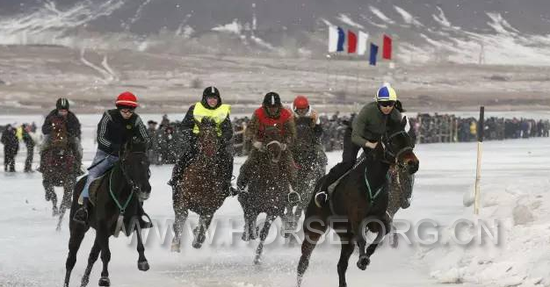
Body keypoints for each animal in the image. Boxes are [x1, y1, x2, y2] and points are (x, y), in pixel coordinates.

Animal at [63, 138, 152, 286]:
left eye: (147, 162)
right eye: (128, 164)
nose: (145, 188)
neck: (121, 194)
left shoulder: (131, 221)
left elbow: (139, 239)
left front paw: (143, 261)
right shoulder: (103, 226)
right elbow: (106, 254)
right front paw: (104, 278)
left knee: (92, 256)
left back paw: (84, 280)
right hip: (78, 229)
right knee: (71, 259)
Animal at [172, 118, 233, 252]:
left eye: (215, 138)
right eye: (200, 137)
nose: (209, 156)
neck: (202, 178)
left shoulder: (209, 208)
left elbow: (203, 227)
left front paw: (197, 239)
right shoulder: (183, 199)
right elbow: (181, 218)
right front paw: (175, 245)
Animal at [239, 126, 296, 266]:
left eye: (280, 136)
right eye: (265, 136)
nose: (275, 152)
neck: (268, 181)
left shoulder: (273, 211)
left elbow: (264, 233)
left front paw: (257, 257)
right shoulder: (252, 208)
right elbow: (251, 225)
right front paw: (251, 233)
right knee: (247, 219)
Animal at [298, 117, 422, 287]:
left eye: (409, 140)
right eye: (392, 141)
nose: (413, 163)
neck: (372, 179)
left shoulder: (379, 217)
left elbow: (383, 230)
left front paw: (366, 256)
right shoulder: (356, 216)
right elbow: (362, 237)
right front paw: (362, 259)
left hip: (345, 234)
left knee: (341, 265)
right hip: (315, 225)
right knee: (304, 260)